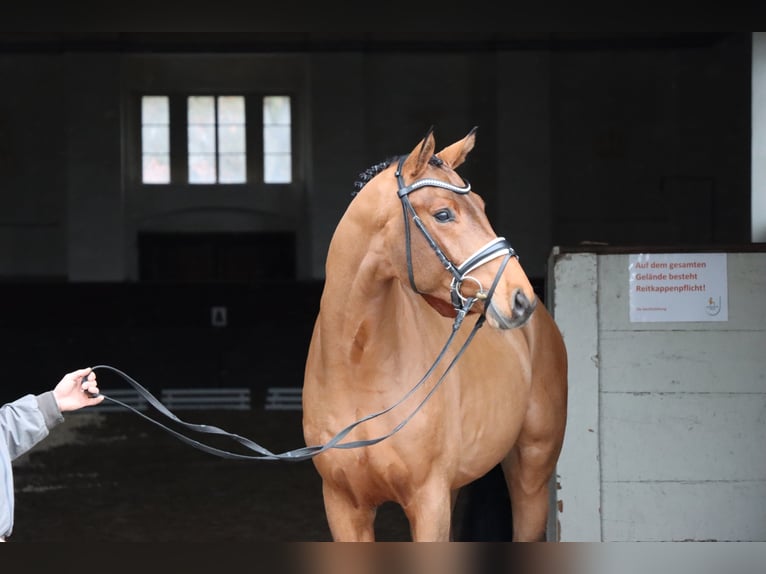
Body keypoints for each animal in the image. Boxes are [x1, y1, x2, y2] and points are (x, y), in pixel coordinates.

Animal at [304, 127, 568, 544]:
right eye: (443, 214)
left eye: (481, 205)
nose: (519, 298)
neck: (357, 365)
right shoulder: (343, 505)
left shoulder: (429, 501)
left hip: (531, 472)